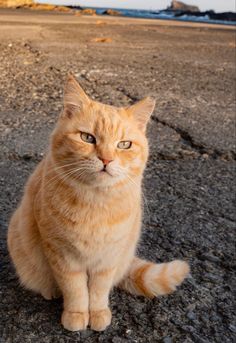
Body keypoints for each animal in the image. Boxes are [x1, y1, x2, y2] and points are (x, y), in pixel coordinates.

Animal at [7, 76, 190, 334]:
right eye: (87, 138)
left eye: (124, 144)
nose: (106, 159)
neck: (95, 202)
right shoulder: (61, 255)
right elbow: (75, 289)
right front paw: (76, 314)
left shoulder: (108, 258)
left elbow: (98, 290)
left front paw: (98, 313)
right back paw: (50, 291)